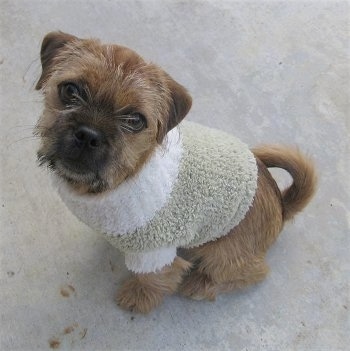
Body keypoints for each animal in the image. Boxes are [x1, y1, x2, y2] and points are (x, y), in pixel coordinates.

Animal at [35, 31, 318, 314]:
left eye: (135, 120)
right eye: (70, 90)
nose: (88, 135)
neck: (125, 178)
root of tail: (281, 204)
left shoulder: (155, 252)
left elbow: (154, 277)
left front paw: (138, 297)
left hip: (222, 254)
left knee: (252, 272)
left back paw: (201, 284)